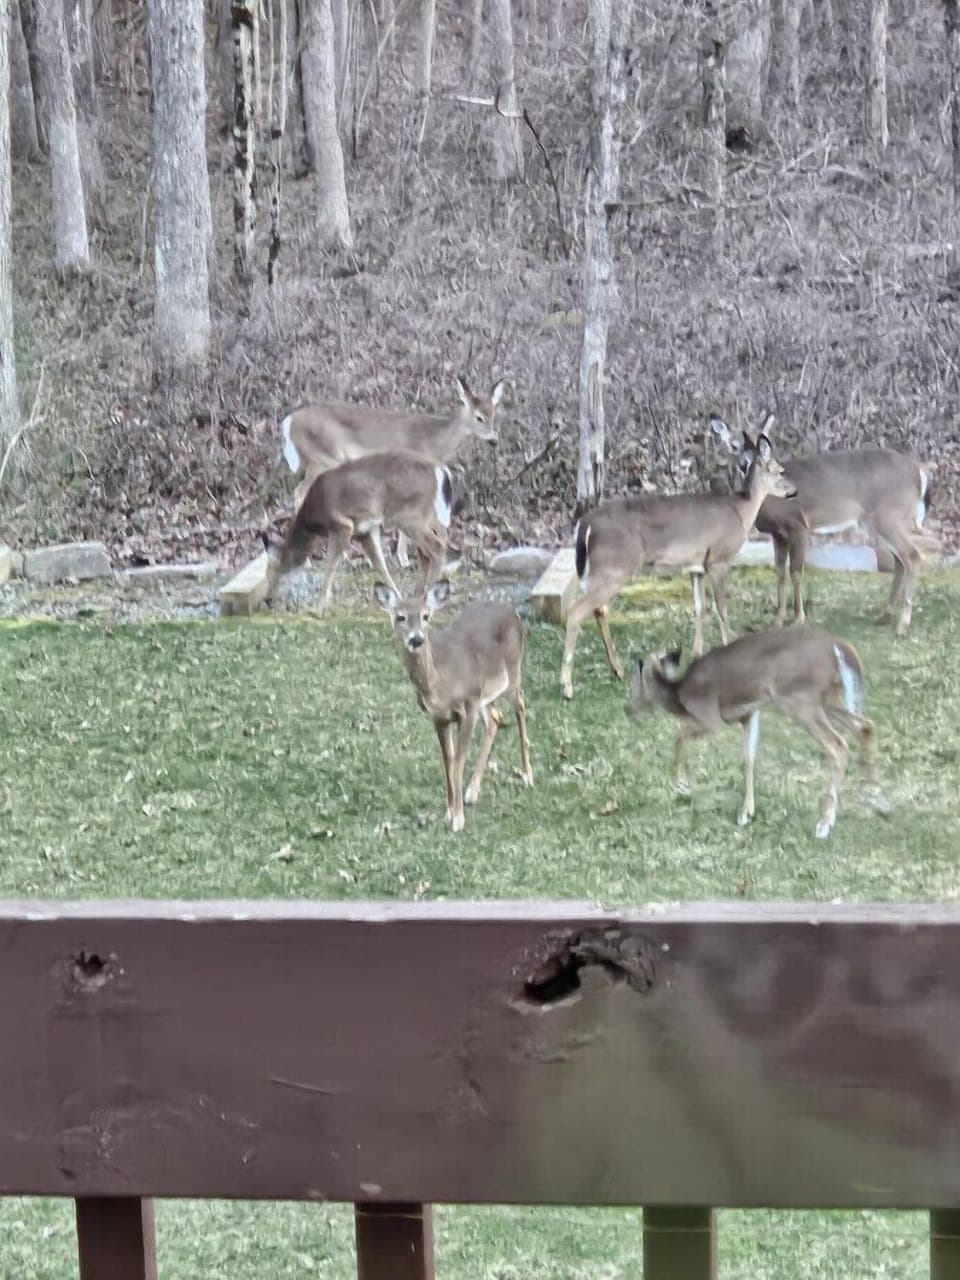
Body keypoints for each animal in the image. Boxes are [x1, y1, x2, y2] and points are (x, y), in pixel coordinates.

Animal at [265, 451, 453, 612]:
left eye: (273, 574)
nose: (268, 600)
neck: (314, 517)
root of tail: (440, 472)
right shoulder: (365, 531)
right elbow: (379, 563)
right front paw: (397, 598)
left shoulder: (342, 525)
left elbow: (330, 563)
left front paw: (318, 608)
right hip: (425, 515)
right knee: (435, 544)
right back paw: (422, 593)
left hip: (409, 516)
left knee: (436, 546)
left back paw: (429, 596)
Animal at [374, 579, 534, 833]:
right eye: (400, 617)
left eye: (426, 615)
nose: (416, 639)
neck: (441, 685)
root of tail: (513, 612)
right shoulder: (439, 717)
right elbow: (447, 760)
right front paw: (449, 811)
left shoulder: (468, 708)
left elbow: (458, 761)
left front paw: (457, 818)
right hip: (485, 693)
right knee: (495, 717)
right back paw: (472, 791)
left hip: (512, 670)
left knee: (519, 703)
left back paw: (527, 774)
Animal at [559, 418, 796, 700]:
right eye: (780, 470)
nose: (794, 491)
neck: (740, 511)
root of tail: (586, 523)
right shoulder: (718, 559)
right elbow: (721, 607)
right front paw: (730, 648)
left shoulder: (697, 566)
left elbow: (699, 608)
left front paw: (697, 654)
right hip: (613, 567)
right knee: (576, 611)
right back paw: (567, 686)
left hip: (602, 570)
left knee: (598, 609)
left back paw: (616, 670)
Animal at [626, 627, 878, 839]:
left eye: (633, 683)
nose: (629, 710)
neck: (679, 695)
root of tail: (840, 646)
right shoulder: (748, 714)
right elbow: (748, 758)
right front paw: (746, 812)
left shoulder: (711, 718)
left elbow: (678, 735)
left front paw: (679, 783)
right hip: (828, 698)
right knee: (865, 726)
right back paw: (872, 794)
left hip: (800, 700)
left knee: (838, 745)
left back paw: (825, 823)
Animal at [712, 418, 938, 637]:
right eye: (733, 445)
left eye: (762, 442)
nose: (744, 465)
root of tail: (920, 470)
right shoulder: (778, 534)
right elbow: (780, 573)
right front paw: (777, 619)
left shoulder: (798, 526)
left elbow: (796, 572)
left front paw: (799, 619)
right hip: (884, 522)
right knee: (900, 560)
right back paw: (885, 615)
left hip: (889, 517)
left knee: (912, 555)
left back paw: (902, 625)